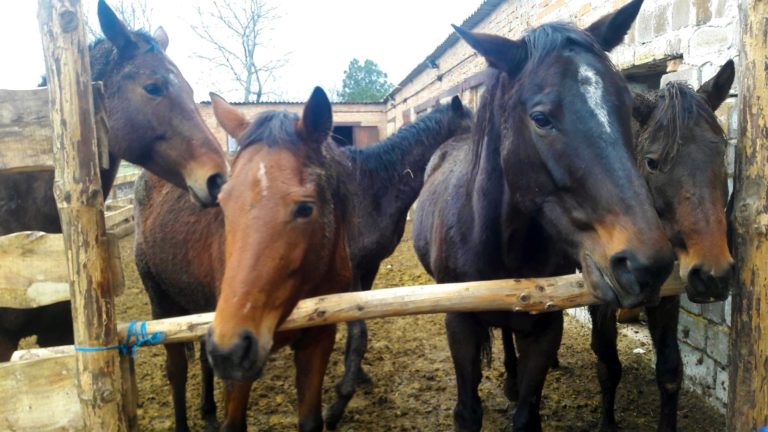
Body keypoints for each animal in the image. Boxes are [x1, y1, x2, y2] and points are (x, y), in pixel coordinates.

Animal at [323, 95, 473, 428]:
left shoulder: (369, 267)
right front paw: (338, 404)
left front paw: (356, 377)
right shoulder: (351, 271)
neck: (370, 186)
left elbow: (357, 330)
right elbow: (359, 332)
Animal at [412, 0, 675, 430]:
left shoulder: (545, 327)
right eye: (541, 118)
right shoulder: (459, 325)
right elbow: (467, 412)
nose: (647, 265)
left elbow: (527, 413)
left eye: (627, 106)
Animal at [588, 60, 735, 432]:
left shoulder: (669, 291)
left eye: (721, 152)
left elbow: (670, 373)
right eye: (652, 162)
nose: (713, 275)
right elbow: (608, 365)